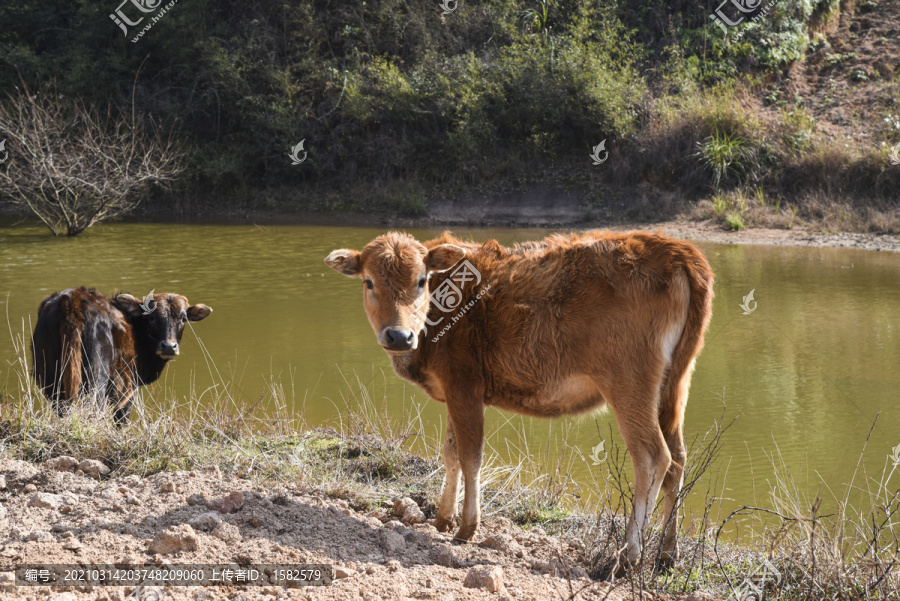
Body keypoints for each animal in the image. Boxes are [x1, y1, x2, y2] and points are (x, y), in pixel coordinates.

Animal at [32, 286, 213, 422]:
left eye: (183, 318)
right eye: (152, 317)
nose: (169, 346)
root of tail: (72, 300)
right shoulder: (130, 390)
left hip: (51, 380)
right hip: (96, 381)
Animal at [326, 230, 712, 568]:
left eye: (422, 280)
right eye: (369, 282)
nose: (398, 335)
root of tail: (676, 249)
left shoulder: (464, 385)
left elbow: (470, 456)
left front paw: (466, 528)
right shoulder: (453, 390)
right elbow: (450, 453)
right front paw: (442, 519)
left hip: (629, 384)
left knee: (652, 456)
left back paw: (630, 556)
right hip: (673, 388)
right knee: (678, 460)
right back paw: (667, 554)